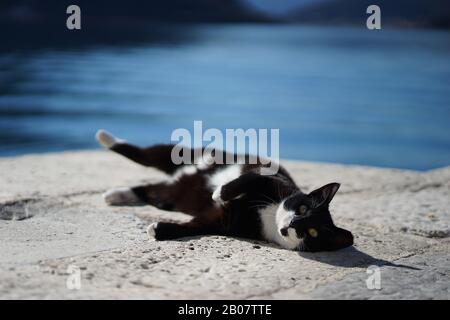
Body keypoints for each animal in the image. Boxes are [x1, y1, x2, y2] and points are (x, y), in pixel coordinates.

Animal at [96, 129, 354, 251]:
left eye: (313, 232)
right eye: (302, 208)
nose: (292, 224)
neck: (270, 217)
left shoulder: (224, 221)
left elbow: (197, 226)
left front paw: (159, 229)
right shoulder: (273, 179)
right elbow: (246, 179)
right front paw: (219, 192)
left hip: (171, 196)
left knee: (149, 189)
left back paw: (116, 195)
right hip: (184, 154)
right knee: (145, 154)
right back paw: (106, 138)